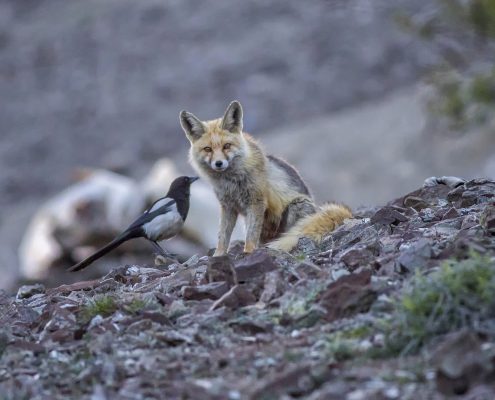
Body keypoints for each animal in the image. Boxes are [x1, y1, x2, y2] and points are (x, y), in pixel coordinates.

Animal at [180, 101, 350, 255]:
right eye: (207, 149)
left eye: (226, 146)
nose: (219, 163)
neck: (231, 182)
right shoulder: (228, 206)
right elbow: (222, 237)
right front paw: (218, 256)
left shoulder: (256, 202)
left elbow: (251, 235)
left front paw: (249, 253)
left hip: (296, 207)